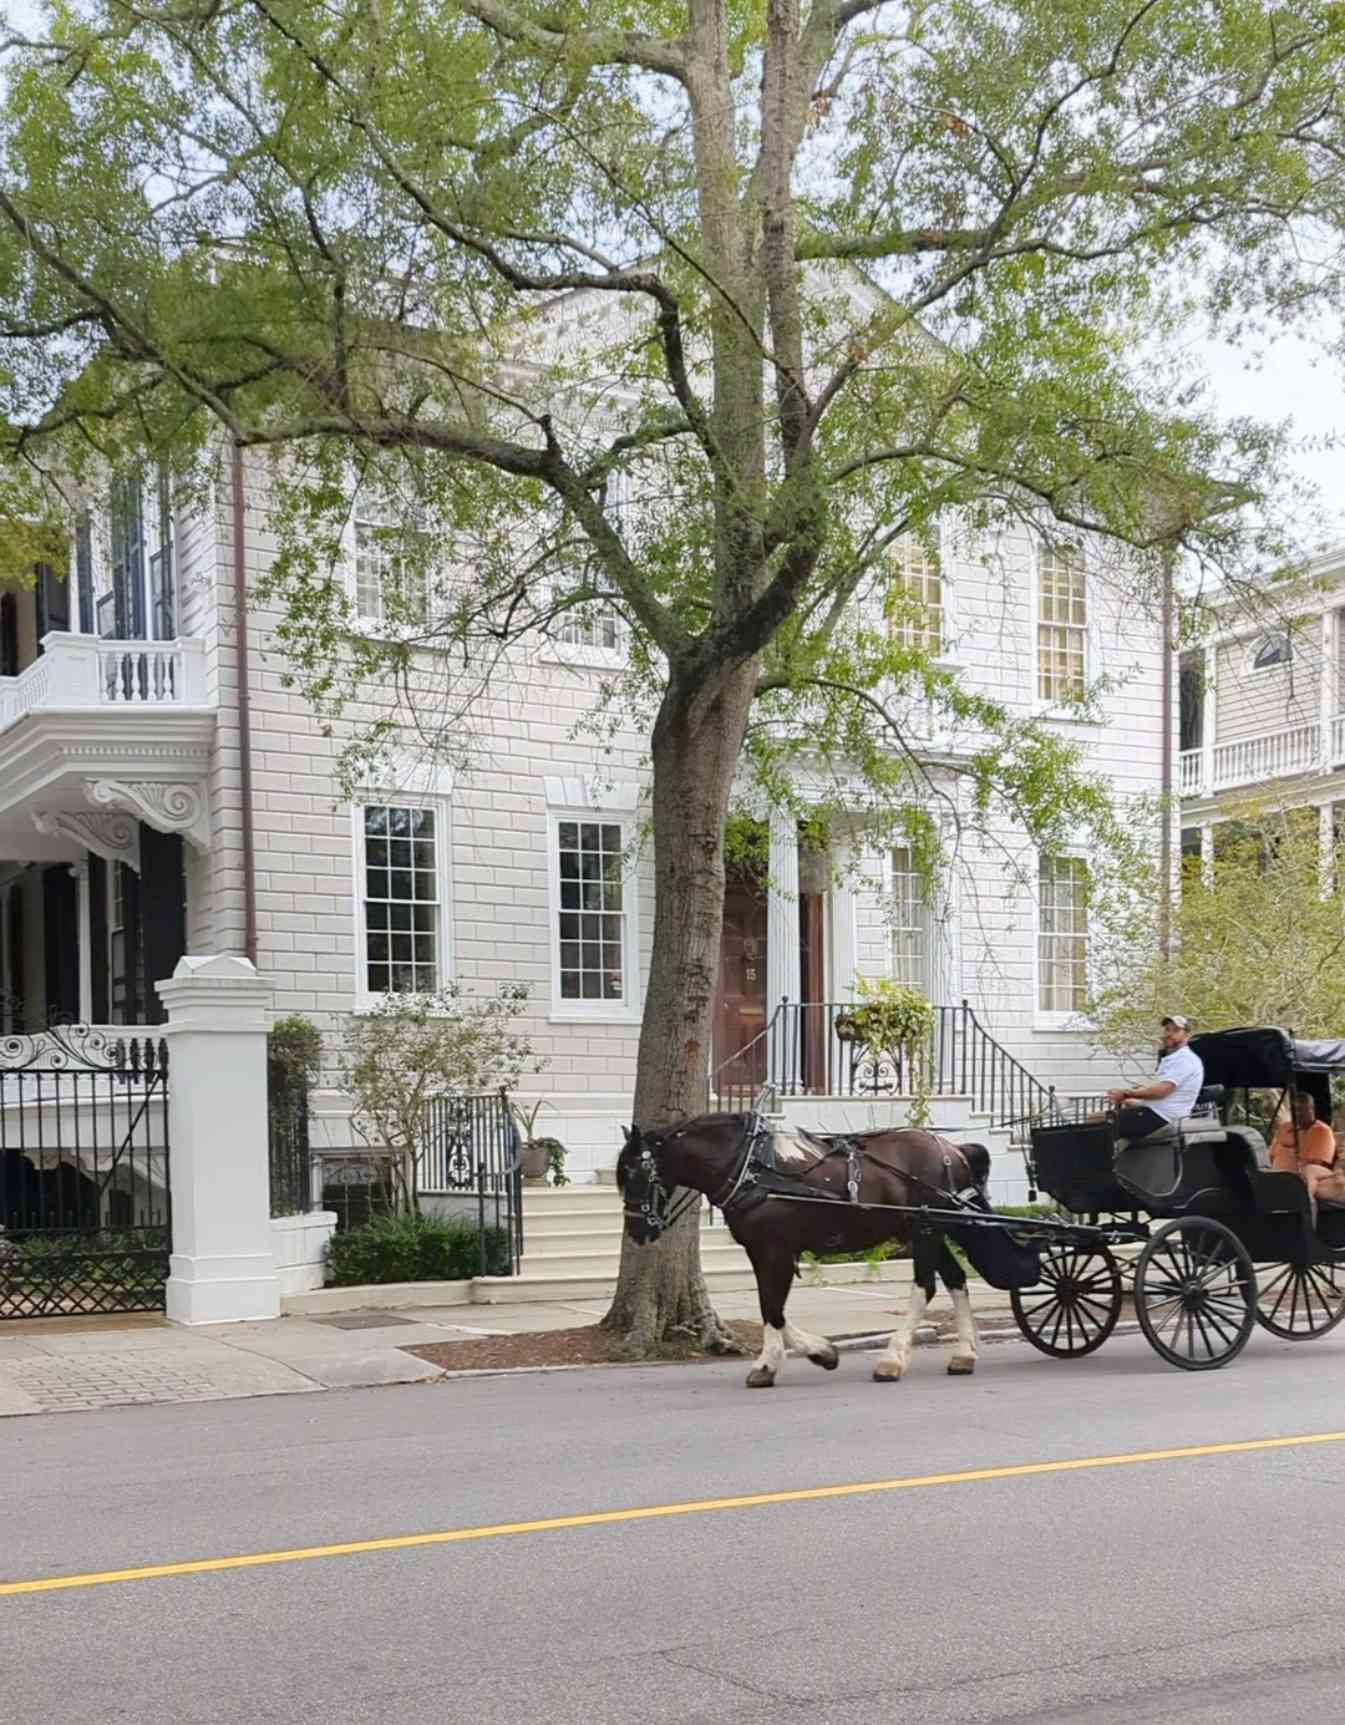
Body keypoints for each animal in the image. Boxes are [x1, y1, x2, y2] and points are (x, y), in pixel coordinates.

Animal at [617, 1112, 1038, 1388]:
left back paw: (892, 1359)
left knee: (926, 1286)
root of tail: (954, 1147)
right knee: (956, 1280)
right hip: (933, 1228)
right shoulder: (760, 1249)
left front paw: (781, 1362)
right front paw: (818, 1353)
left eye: (635, 1173)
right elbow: (771, 1307)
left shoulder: (775, 1248)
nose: (637, 1231)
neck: (750, 1168)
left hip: (926, 1230)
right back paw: (964, 1354)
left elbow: (772, 1307)